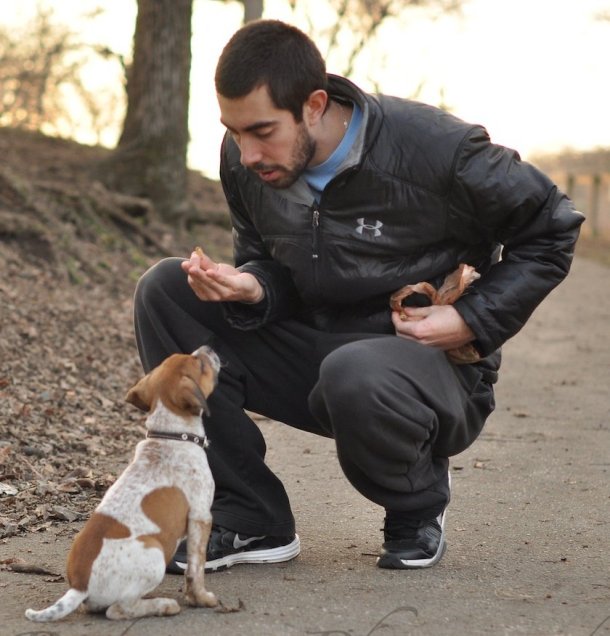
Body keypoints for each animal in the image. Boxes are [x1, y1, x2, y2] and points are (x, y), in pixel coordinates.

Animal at [25, 345, 221, 621]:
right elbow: (195, 568)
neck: (170, 435)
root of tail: (79, 587)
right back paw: (163, 605)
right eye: (200, 364)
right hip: (155, 555)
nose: (208, 348)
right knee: (118, 609)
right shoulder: (201, 517)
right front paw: (201, 599)